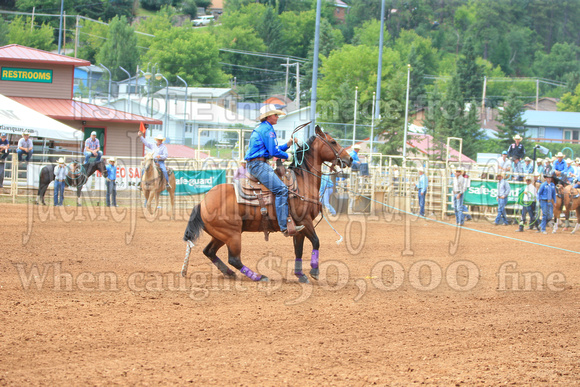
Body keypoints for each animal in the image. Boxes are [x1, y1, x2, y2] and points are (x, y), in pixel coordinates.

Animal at [184, 126, 352, 284]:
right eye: (333, 142)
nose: (349, 159)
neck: (303, 182)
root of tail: (202, 203)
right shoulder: (304, 220)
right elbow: (316, 241)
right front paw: (314, 271)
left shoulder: (299, 228)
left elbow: (298, 250)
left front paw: (300, 275)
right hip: (232, 234)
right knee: (234, 259)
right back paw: (259, 276)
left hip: (220, 235)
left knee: (209, 251)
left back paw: (230, 273)